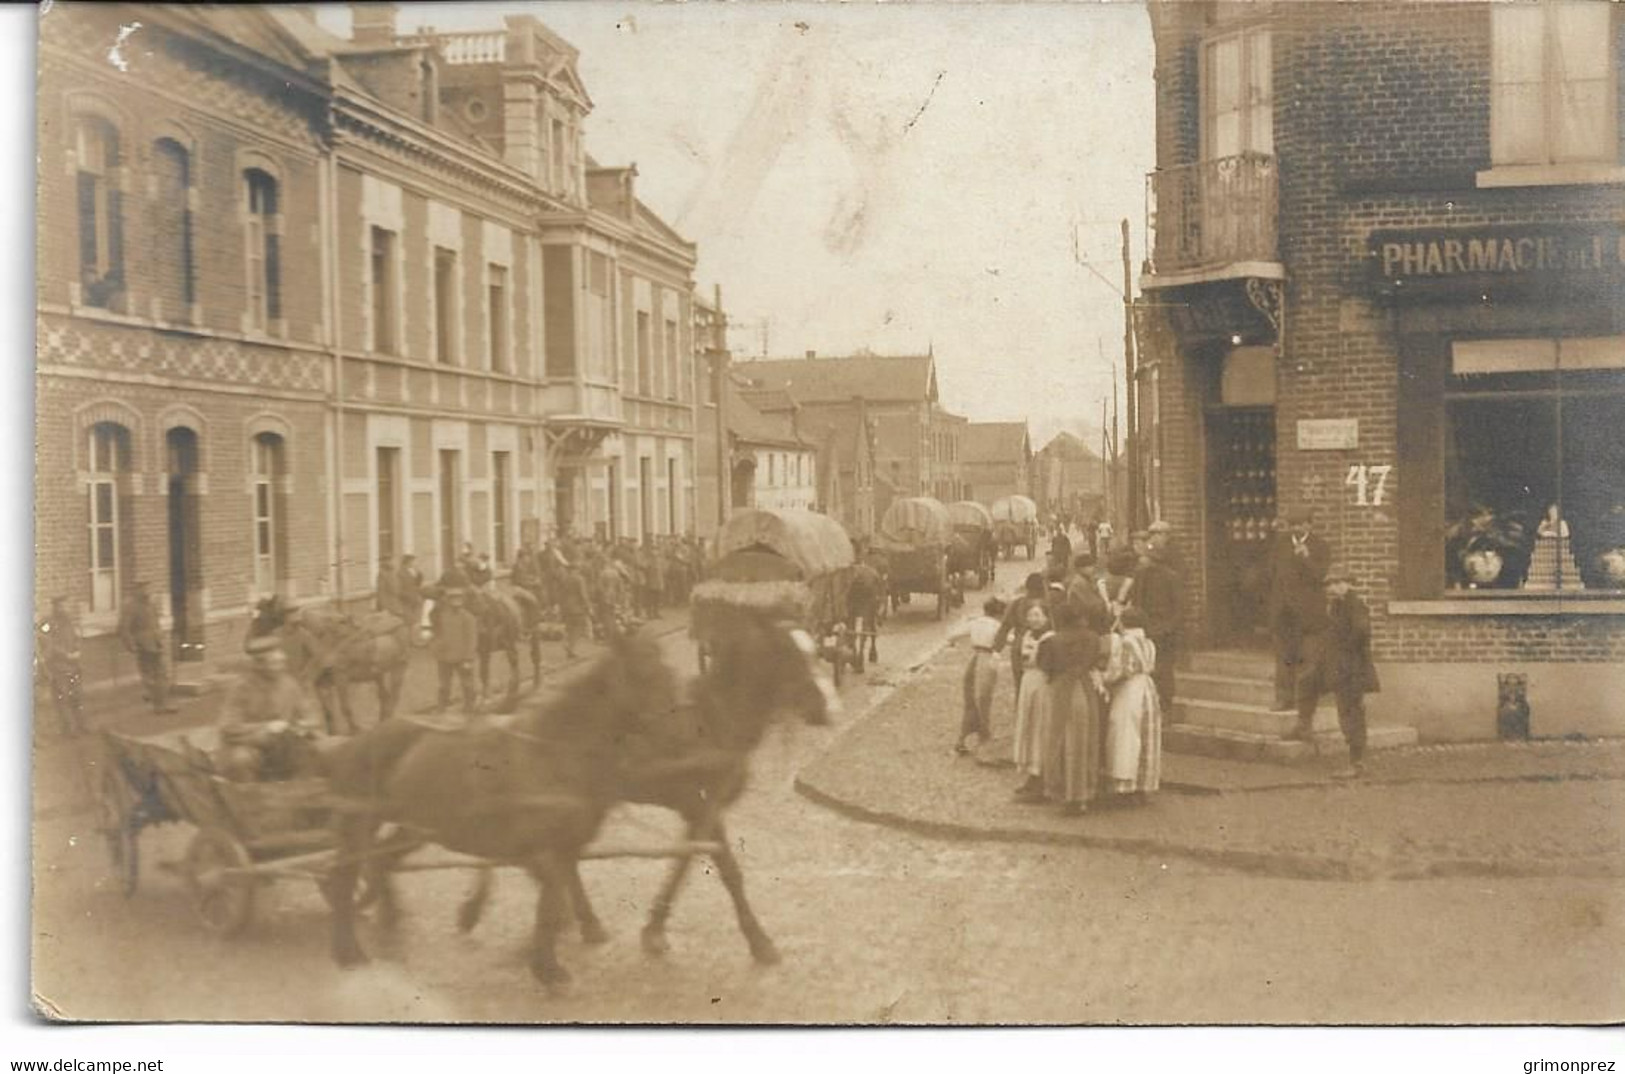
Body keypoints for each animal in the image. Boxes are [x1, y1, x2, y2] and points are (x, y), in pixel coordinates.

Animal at [251, 594, 412, 737]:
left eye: (265, 612)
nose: (254, 644)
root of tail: (398, 620)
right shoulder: (322, 683)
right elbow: (328, 712)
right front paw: (333, 733)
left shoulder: (341, 677)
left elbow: (345, 707)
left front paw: (354, 731)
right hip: (378, 674)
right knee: (384, 697)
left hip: (399, 667)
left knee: (394, 697)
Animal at [455, 597, 845, 968]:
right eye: (788, 654)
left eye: (815, 650)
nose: (831, 708)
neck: (712, 720)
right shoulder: (698, 804)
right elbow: (727, 870)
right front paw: (759, 942)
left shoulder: (701, 809)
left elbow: (683, 862)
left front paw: (655, 926)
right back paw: (483, 909)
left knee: (557, 854)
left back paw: (576, 920)